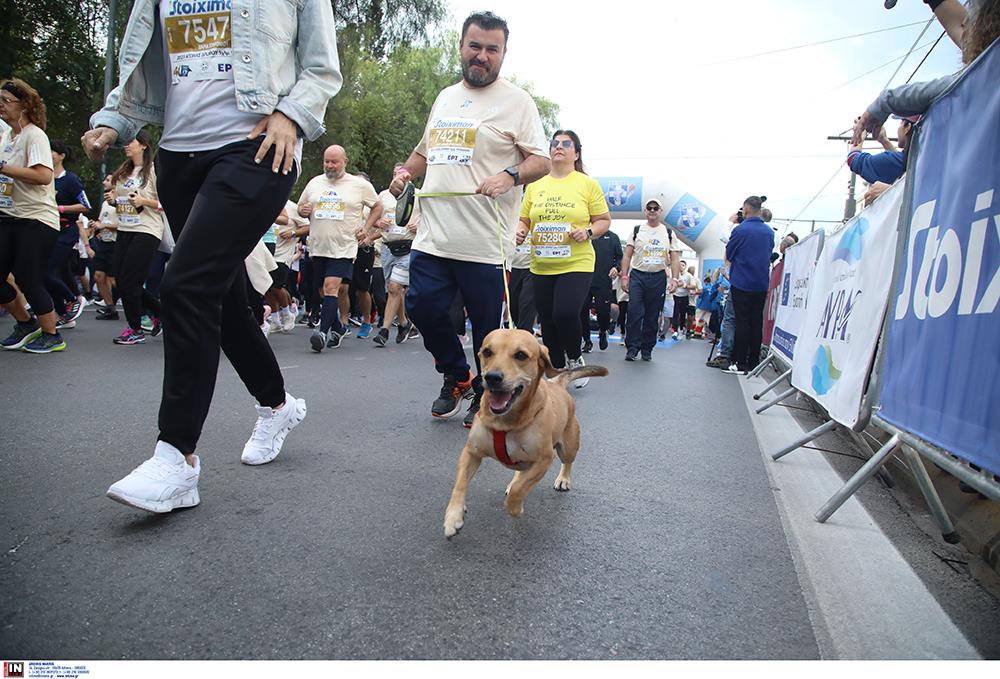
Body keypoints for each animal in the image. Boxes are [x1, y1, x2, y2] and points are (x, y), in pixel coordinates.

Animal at [443, 329, 608, 538]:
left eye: (521, 355)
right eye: (487, 352)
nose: (492, 377)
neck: (505, 422)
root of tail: (557, 384)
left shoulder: (545, 459)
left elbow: (519, 490)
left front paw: (514, 508)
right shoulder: (471, 453)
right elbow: (459, 485)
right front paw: (453, 516)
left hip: (568, 448)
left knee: (567, 462)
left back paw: (563, 479)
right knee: (520, 472)